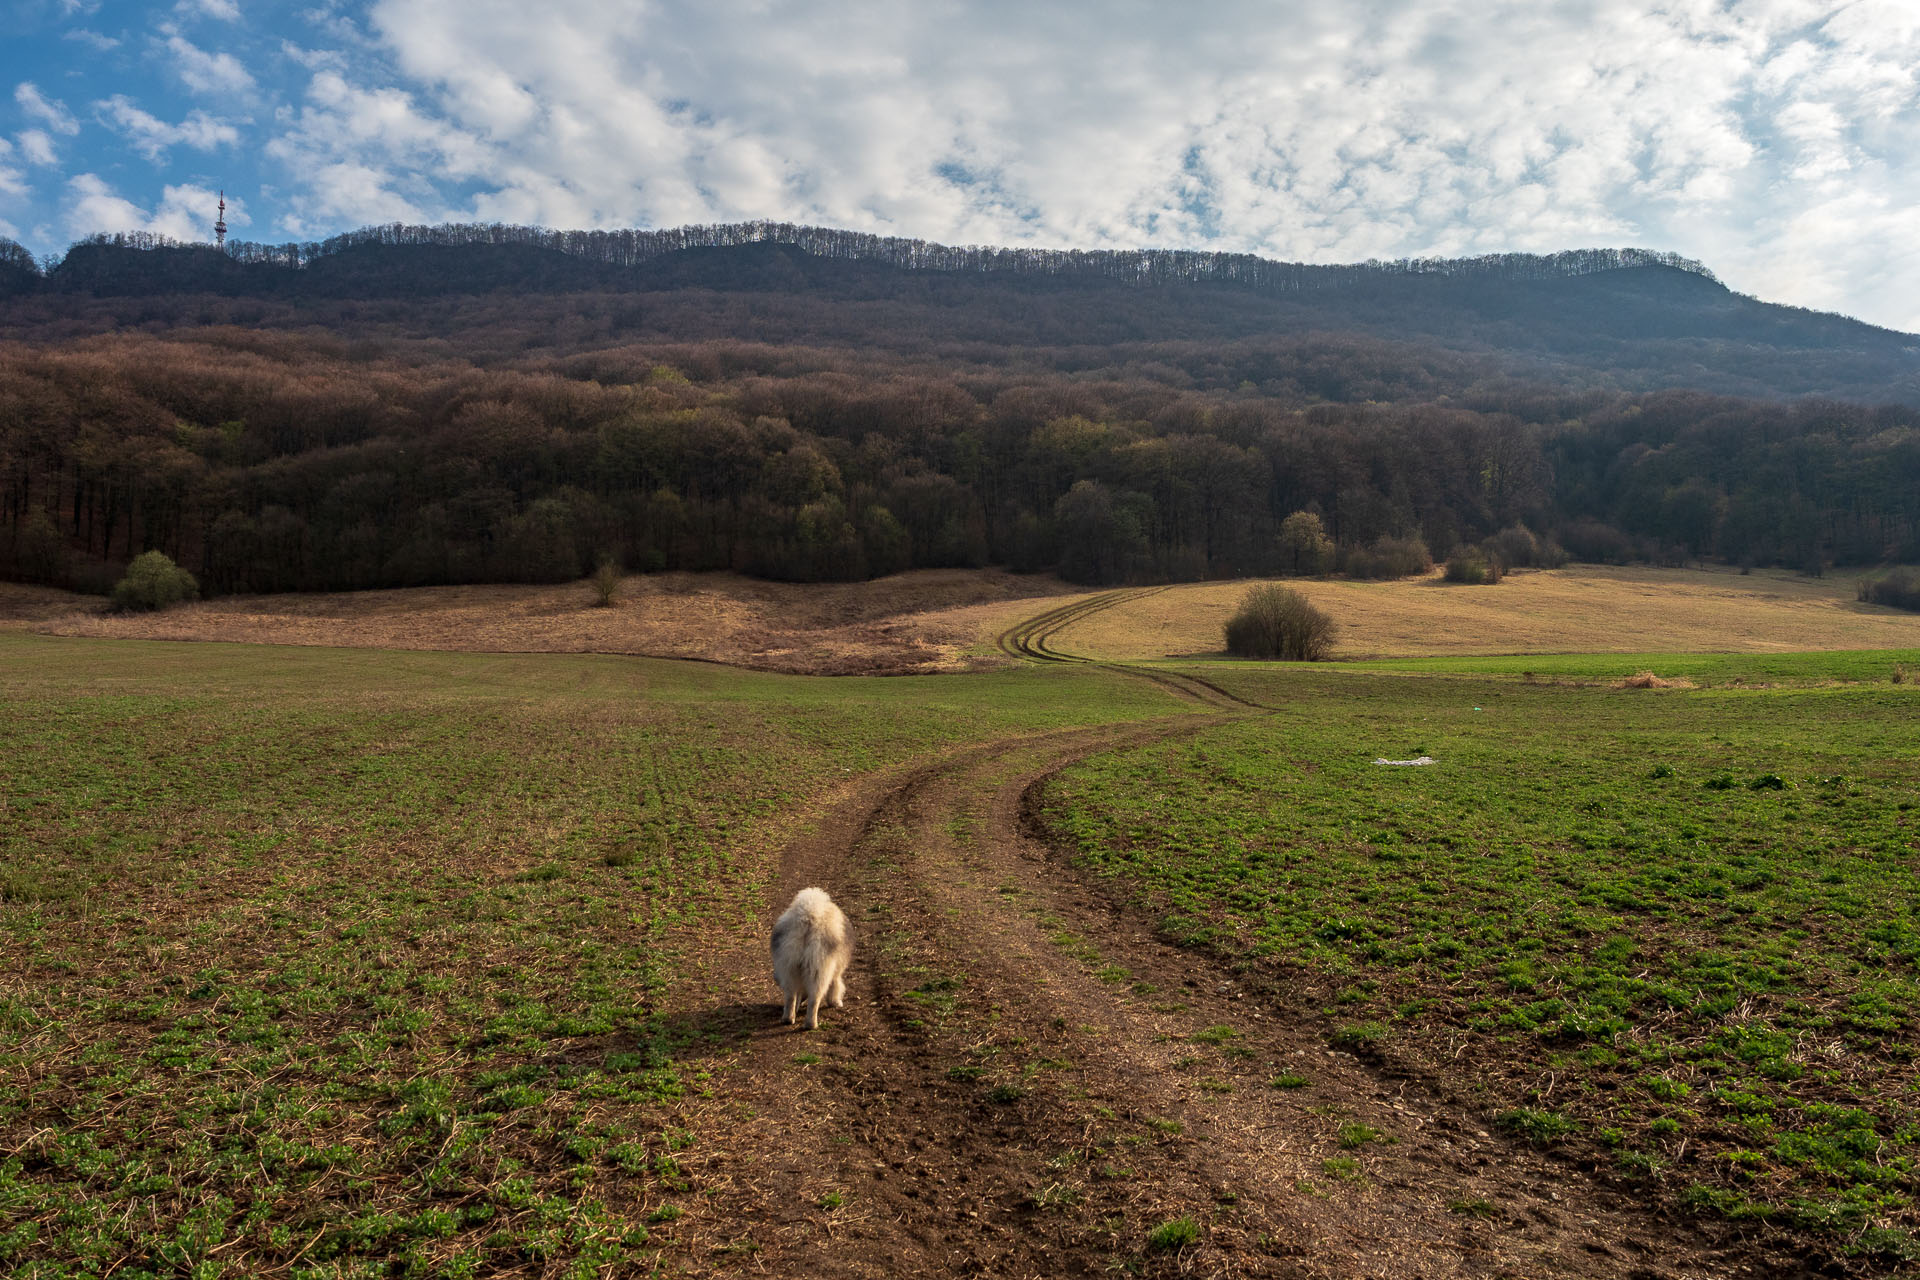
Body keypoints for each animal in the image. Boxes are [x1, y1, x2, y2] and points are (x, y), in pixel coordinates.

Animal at [768, 890, 852, 1028]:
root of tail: (809, 918)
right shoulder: (835, 971)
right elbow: (835, 985)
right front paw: (835, 1002)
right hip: (819, 969)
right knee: (814, 999)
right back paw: (811, 1024)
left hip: (789, 966)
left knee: (790, 996)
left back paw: (788, 1018)